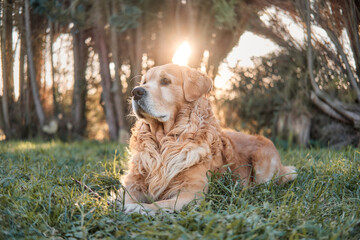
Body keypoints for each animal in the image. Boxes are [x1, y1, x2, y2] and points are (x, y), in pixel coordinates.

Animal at [116, 63, 296, 214]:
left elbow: (159, 204)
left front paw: (138, 208)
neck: (164, 141)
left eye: (165, 81)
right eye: (144, 81)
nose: (136, 92)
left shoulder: (190, 193)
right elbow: (125, 197)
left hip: (263, 164)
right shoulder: (133, 182)